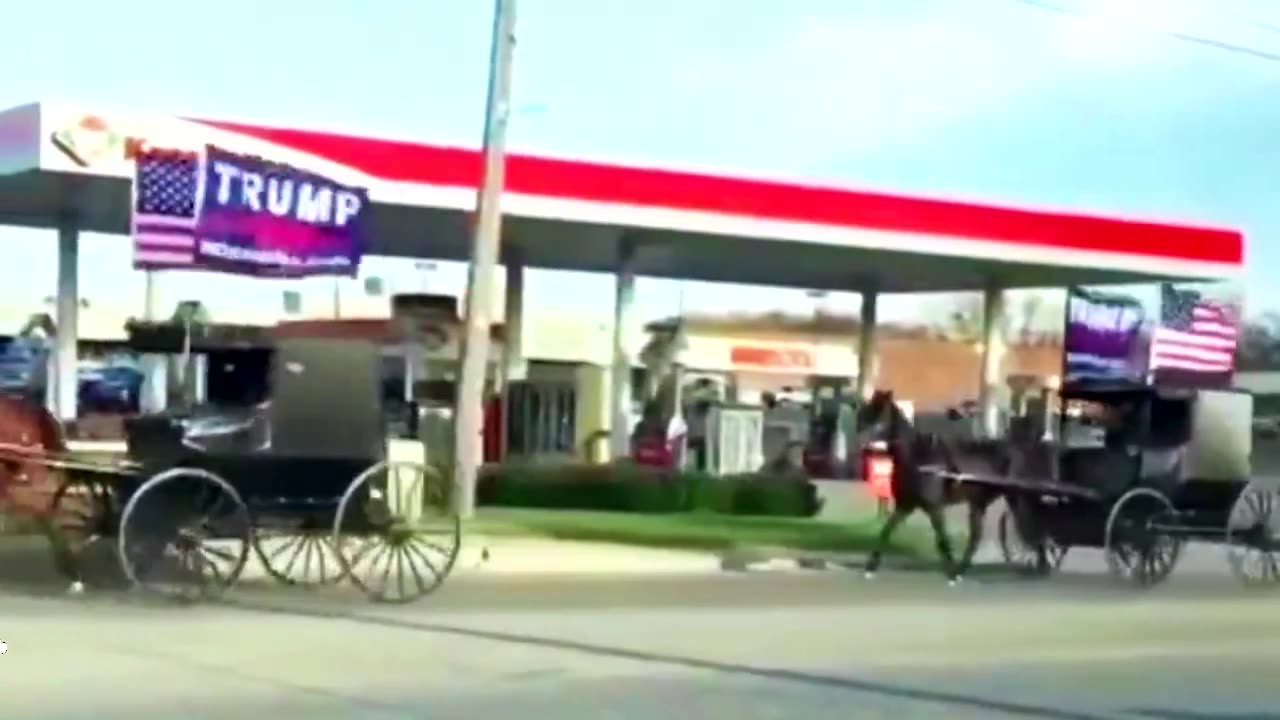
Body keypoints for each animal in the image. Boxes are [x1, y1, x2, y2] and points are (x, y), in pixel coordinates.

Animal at [855, 389, 1013, 579]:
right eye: (863, 415)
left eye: (879, 418)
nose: (859, 443)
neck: (918, 458)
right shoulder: (905, 504)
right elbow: (886, 531)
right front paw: (871, 566)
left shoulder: (934, 506)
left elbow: (942, 536)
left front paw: (950, 571)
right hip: (978, 503)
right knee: (976, 536)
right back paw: (962, 569)